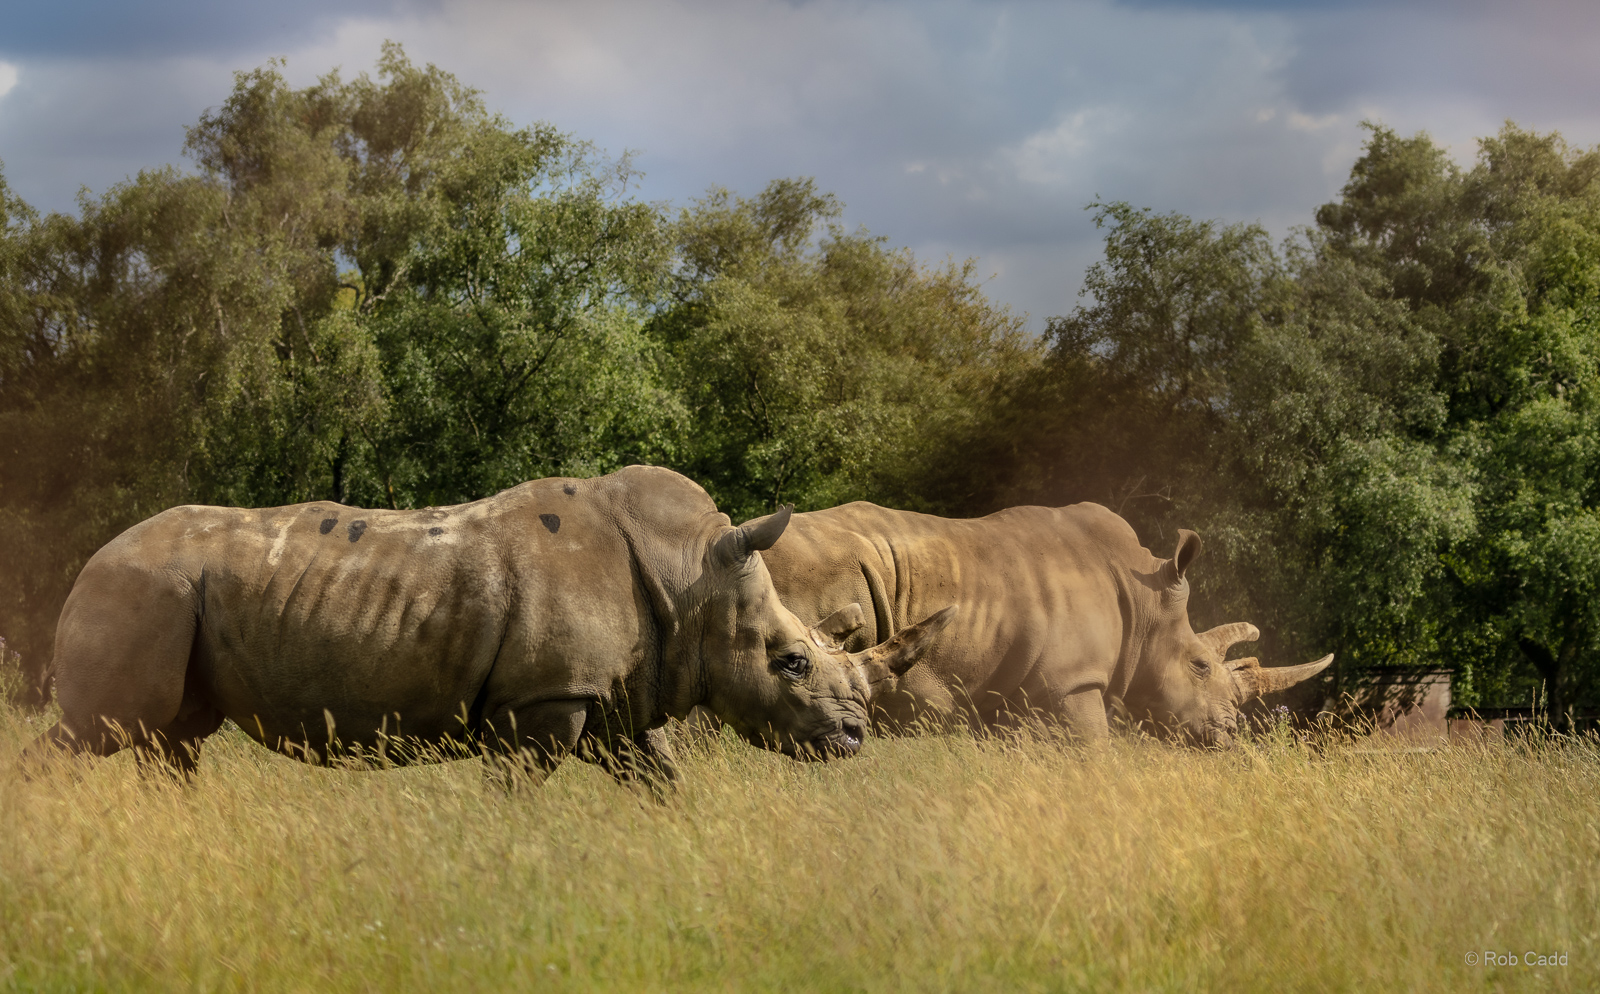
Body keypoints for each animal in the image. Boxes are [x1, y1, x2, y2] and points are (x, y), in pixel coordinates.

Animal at [21, 466, 954, 786]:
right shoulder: (544, 700)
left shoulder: (609, 695)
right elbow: (521, 790)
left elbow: (659, 779)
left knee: (167, 741)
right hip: (137, 593)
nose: (853, 739)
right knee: (97, 731)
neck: (693, 574)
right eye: (790, 662)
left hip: (166, 598)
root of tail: (87, 562)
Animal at [755, 501, 1331, 748]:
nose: (1230, 735)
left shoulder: (1004, 692)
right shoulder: (1072, 683)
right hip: (812, 572)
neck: (1147, 606)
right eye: (1200, 666)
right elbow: (1095, 751)